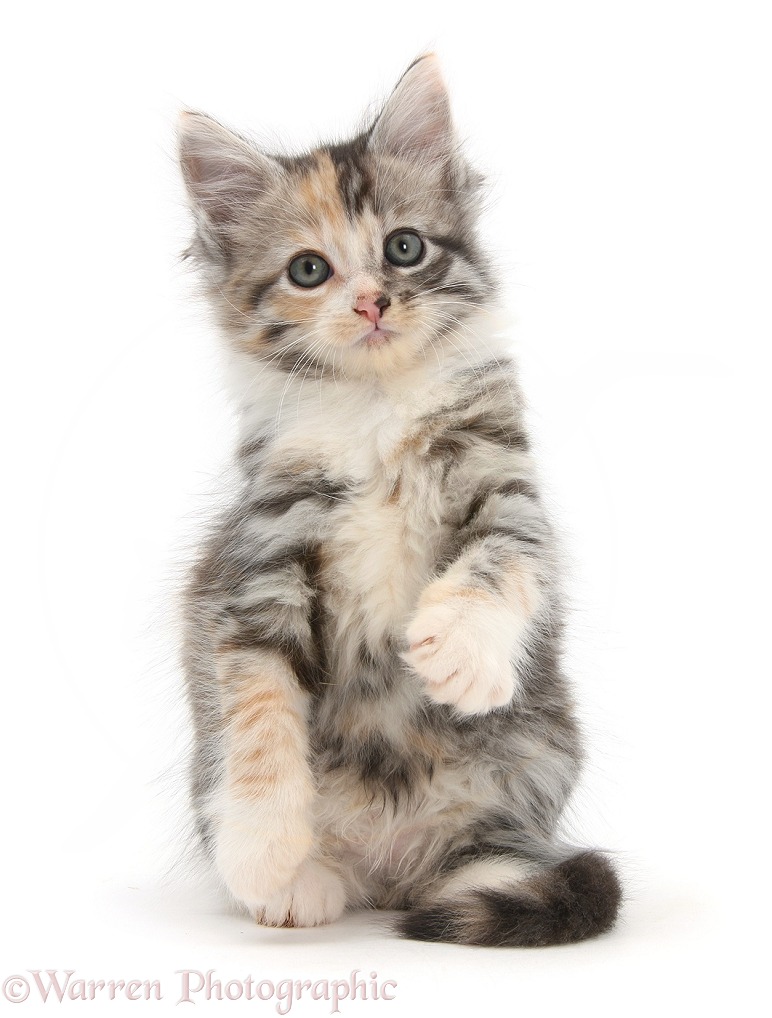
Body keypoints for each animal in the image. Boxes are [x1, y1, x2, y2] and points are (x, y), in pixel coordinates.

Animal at [177, 53, 623, 944]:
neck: (376, 408)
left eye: (405, 248)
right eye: (309, 269)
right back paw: (302, 882)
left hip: (535, 757)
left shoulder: (505, 488)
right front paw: (263, 846)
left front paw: (457, 650)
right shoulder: (258, 566)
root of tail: (392, 869)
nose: (372, 301)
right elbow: (255, 710)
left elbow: (498, 562)